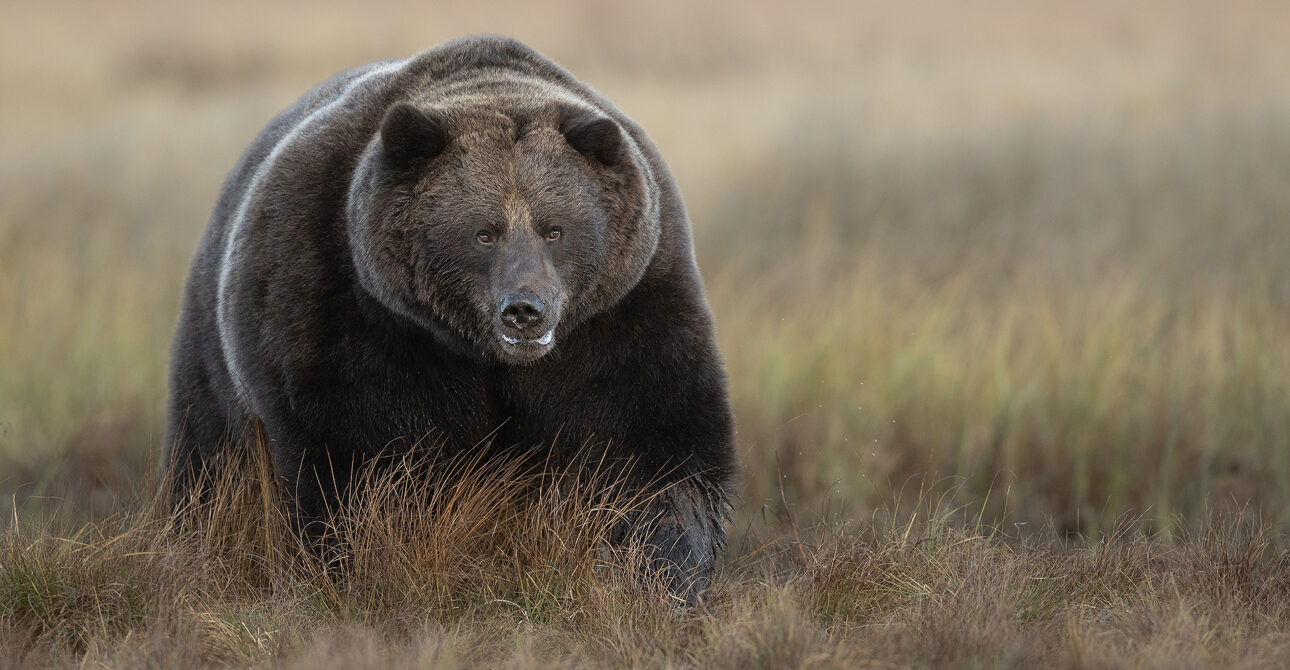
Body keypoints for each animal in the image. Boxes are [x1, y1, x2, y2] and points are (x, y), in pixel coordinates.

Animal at [163, 35, 736, 602]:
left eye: (555, 229)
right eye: (483, 232)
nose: (524, 309)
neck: (483, 356)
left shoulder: (620, 317)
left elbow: (650, 448)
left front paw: (664, 574)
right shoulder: (347, 315)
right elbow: (357, 464)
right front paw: (363, 567)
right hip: (216, 360)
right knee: (209, 462)